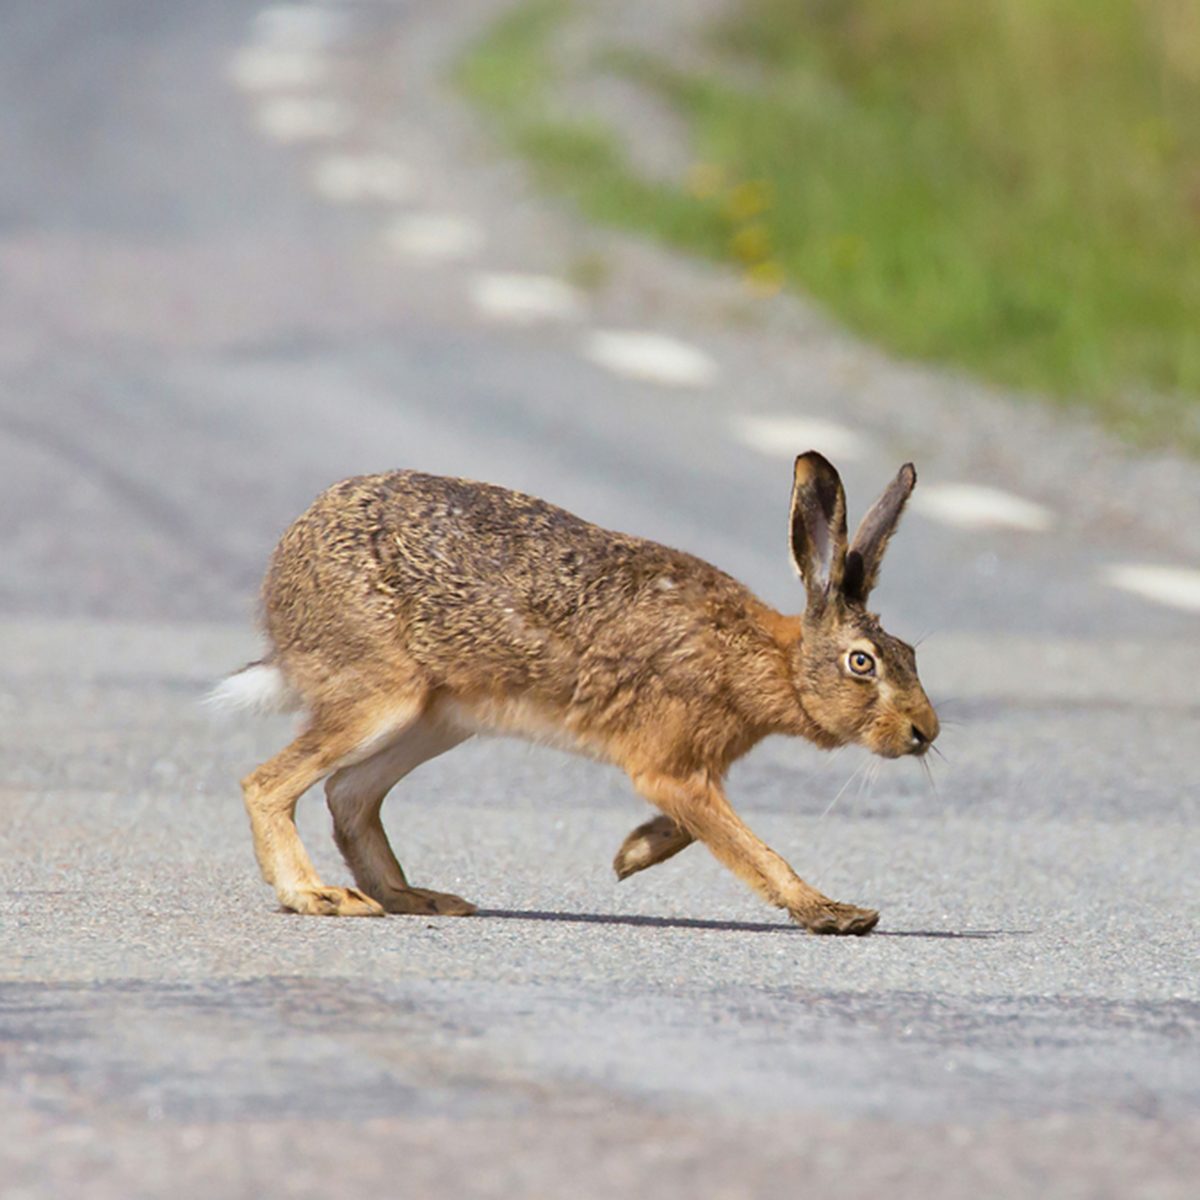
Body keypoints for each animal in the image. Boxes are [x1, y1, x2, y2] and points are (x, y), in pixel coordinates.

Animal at [211, 451, 938, 935]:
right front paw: (834, 913)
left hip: (436, 719)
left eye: (910, 655)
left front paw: (632, 853)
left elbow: (698, 828)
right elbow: (749, 847)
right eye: (863, 663)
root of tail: (284, 581)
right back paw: (318, 896)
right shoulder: (670, 763)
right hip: (382, 697)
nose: (924, 732)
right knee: (268, 784)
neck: (770, 661)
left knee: (349, 794)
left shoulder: (689, 772)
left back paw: (416, 898)